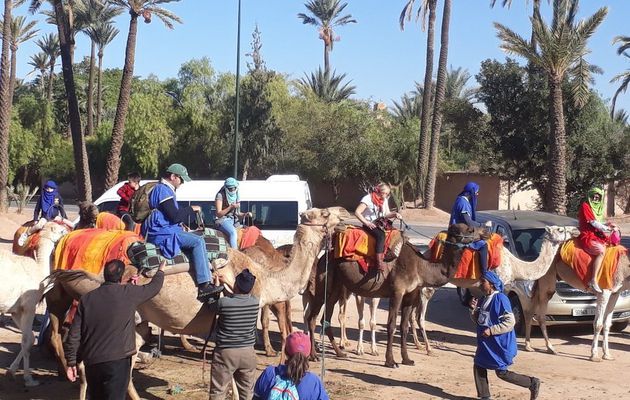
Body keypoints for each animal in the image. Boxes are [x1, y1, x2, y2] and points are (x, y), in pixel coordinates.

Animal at [0, 223, 68, 386]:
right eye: (61, 230)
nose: (68, 232)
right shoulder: (29, 306)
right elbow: (26, 340)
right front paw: (29, 379)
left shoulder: (16, 310)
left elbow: (30, 338)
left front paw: (12, 370)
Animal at [44, 208, 350, 398]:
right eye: (325, 213)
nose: (347, 215)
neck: (265, 278)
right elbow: (235, 377)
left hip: (134, 321)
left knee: (121, 364)